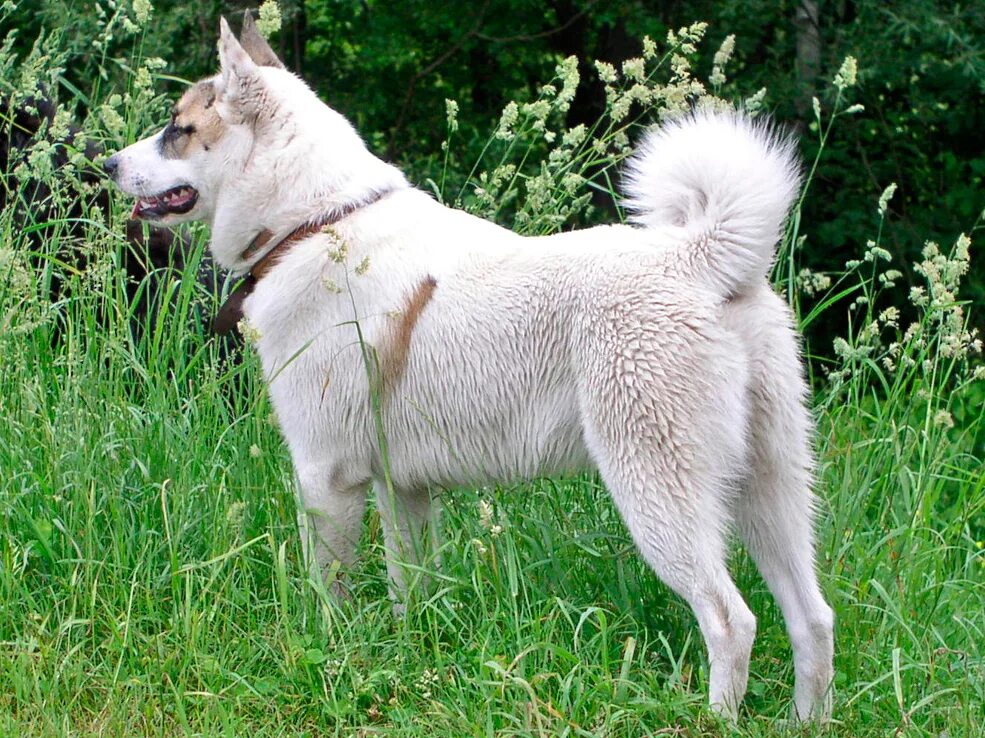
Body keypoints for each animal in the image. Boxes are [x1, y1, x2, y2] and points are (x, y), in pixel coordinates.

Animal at [105, 17, 832, 720]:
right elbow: (410, 592)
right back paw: (807, 720)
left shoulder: (324, 476)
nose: (108, 162)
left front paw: (327, 656)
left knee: (730, 621)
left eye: (178, 129)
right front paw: (406, 662)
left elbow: (329, 593)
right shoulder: (401, 489)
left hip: (658, 494)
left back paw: (716, 716)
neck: (314, 221)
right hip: (769, 492)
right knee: (812, 619)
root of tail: (698, 258)